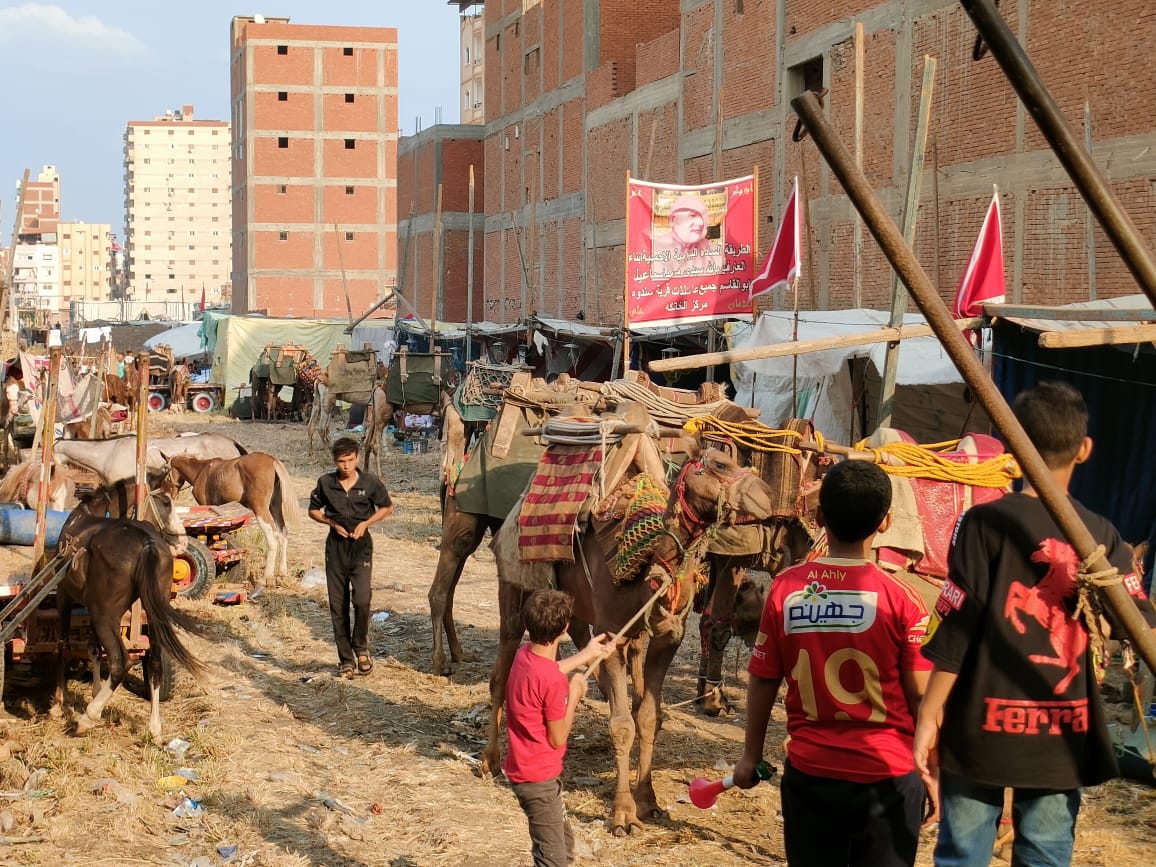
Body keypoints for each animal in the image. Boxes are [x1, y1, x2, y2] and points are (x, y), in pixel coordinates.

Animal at [53, 483, 201, 739]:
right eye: (166, 503)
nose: (182, 543)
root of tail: (147, 542)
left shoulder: (65, 595)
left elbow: (64, 645)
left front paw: (57, 704)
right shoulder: (88, 605)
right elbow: (94, 649)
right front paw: (95, 690)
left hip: (105, 615)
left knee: (120, 661)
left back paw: (88, 718)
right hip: (151, 614)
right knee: (154, 663)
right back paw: (154, 728)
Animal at [160, 450, 300, 587]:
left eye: (165, 473)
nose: (169, 496)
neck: (201, 470)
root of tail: (271, 460)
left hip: (260, 509)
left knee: (272, 537)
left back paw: (266, 577)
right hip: (275, 507)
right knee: (282, 534)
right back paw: (282, 574)